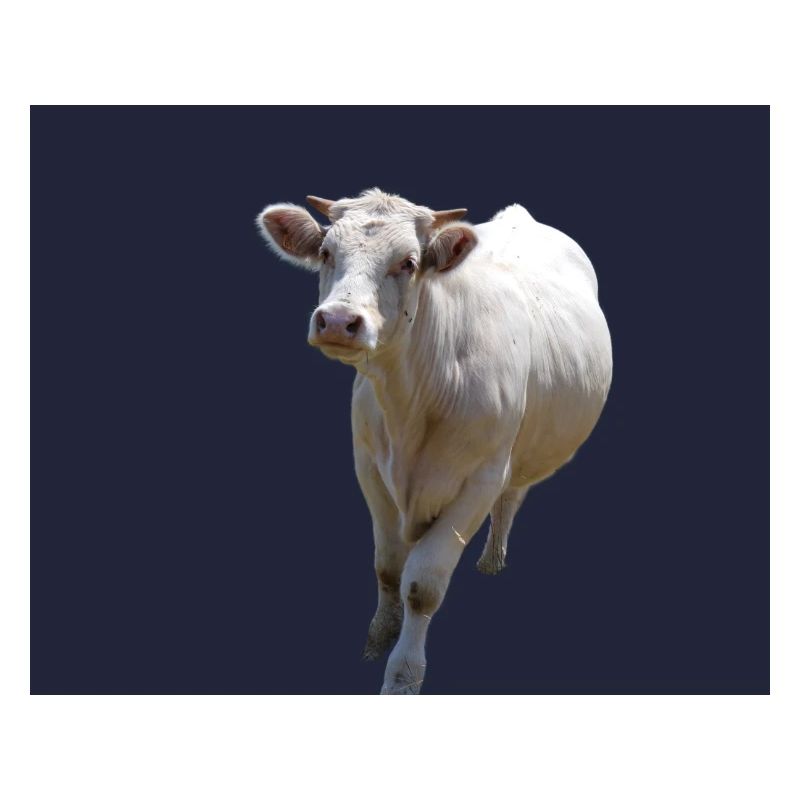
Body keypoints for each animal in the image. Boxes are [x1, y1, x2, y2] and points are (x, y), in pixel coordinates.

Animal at [257, 188, 613, 694]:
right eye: (326, 252)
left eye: (407, 262)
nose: (338, 320)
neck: (412, 401)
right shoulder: (368, 466)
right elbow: (388, 567)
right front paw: (376, 641)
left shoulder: (479, 480)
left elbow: (422, 586)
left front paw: (402, 676)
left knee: (512, 496)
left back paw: (492, 561)